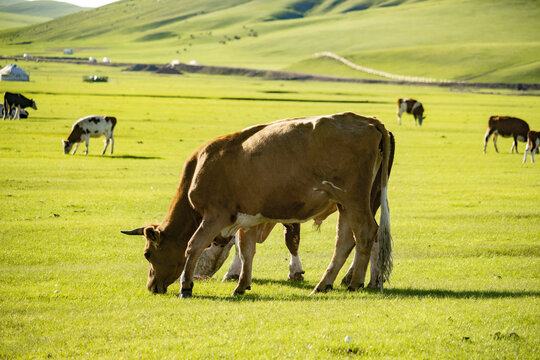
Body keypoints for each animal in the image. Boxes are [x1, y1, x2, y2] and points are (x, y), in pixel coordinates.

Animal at [121, 112, 392, 298]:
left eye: (147, 254)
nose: (151, 286)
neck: (201, 166)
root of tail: (368, 120)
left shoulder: (215, 215)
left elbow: (193, 245)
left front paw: (186, 286)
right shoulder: (247, 219)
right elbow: (246, 250)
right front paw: (241, 285)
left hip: (354, 199)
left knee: (365, 233)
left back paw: (355, 282)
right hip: (346, 204)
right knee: (345, 241)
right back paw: (325, 284)